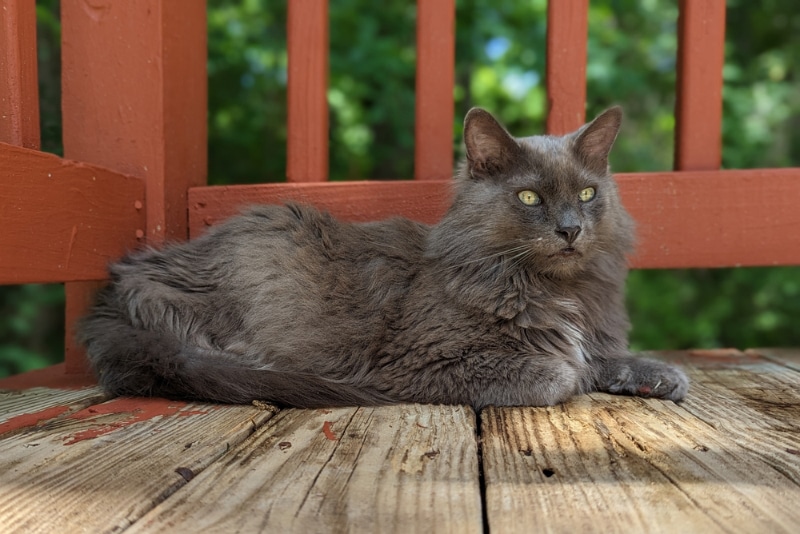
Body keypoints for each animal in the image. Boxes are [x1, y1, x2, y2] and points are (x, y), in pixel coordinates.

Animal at [81, 108, 688, 410]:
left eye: (587, 194)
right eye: (529, 198)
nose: (570, 230)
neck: (558, 290)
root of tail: (118, 286)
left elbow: (607, 357)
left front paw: (654, 376)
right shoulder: (423, 359)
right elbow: (560, 373)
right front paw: (586, 375)